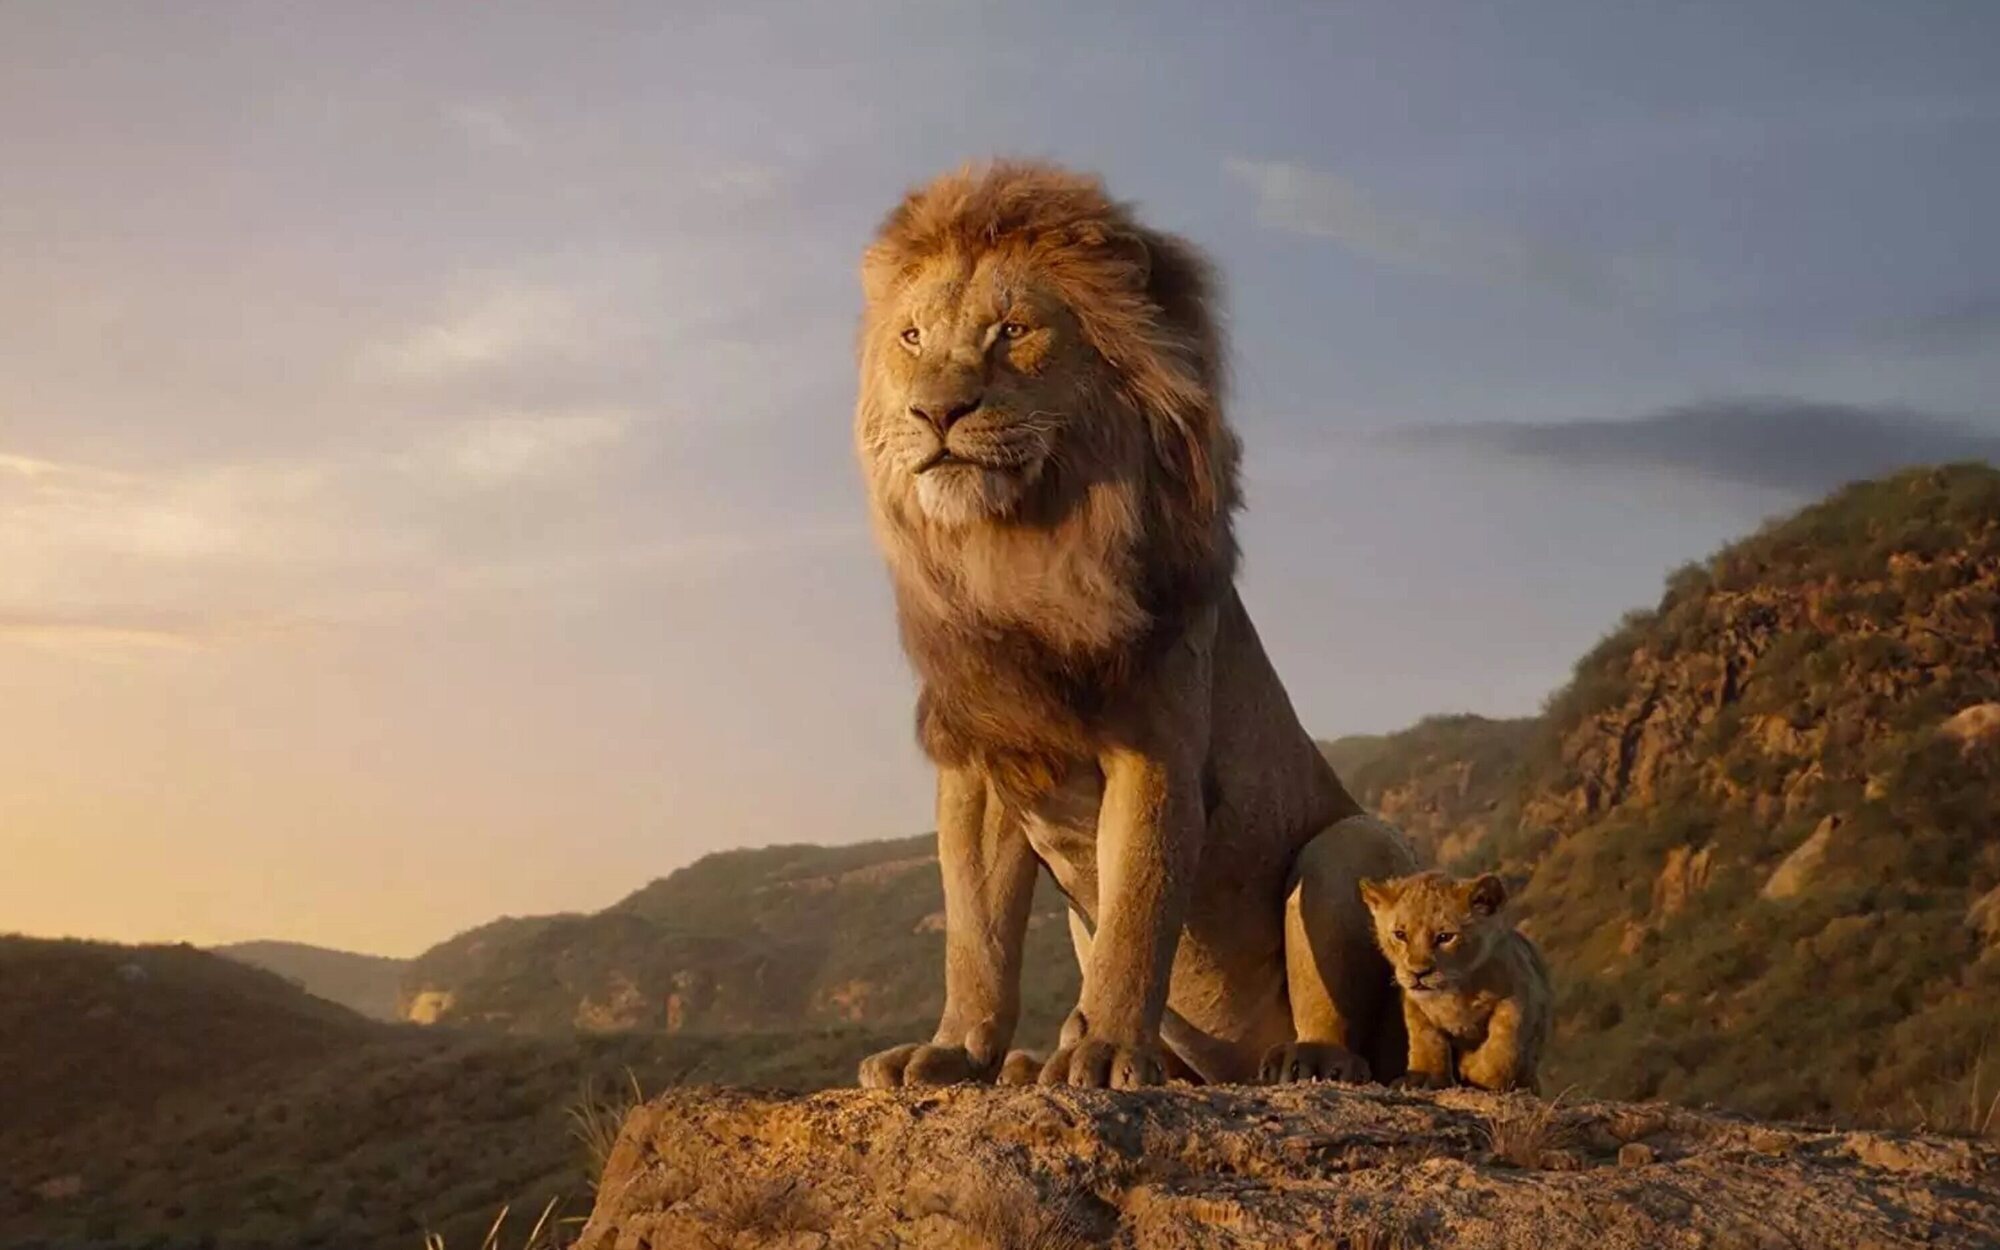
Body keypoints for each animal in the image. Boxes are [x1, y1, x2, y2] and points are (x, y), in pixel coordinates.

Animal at [852, 161, 1418, 1090]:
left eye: (1013, 331)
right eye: (911, 338)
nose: (936, 413)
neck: (1020, 552)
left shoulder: (1155, 750)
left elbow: (1138, 916)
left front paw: (1110, 1050)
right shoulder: (982, 761)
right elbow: (976, 935)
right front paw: (954, 1051)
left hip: (1349, 847)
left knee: (1353, 1029)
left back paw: (1305, 1060)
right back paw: (1036, 1061)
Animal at [1358, 871, 1552, 1093]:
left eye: (1445, 937)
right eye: (1400, 935)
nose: (1418, 973)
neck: (1454, 991)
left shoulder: (1521, 994)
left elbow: (1503, 1045)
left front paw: (1476, 1070)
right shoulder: (1416, 1005)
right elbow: (1426, 1040)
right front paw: (1424, 1078)